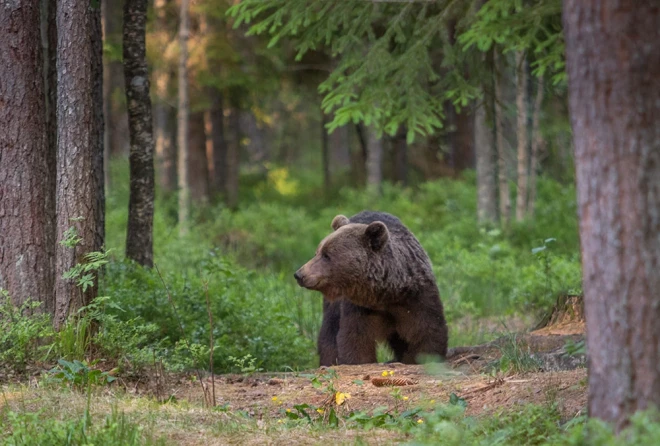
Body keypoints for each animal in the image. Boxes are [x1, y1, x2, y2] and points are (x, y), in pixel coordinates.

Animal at [296, 211, 446, 364]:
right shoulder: (358, 308)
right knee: (329, 330)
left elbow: (427, 332)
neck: (386, 293)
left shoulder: (416, 298)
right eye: (317, 252)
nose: (299, 274)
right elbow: (355, 338)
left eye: (326, 255)